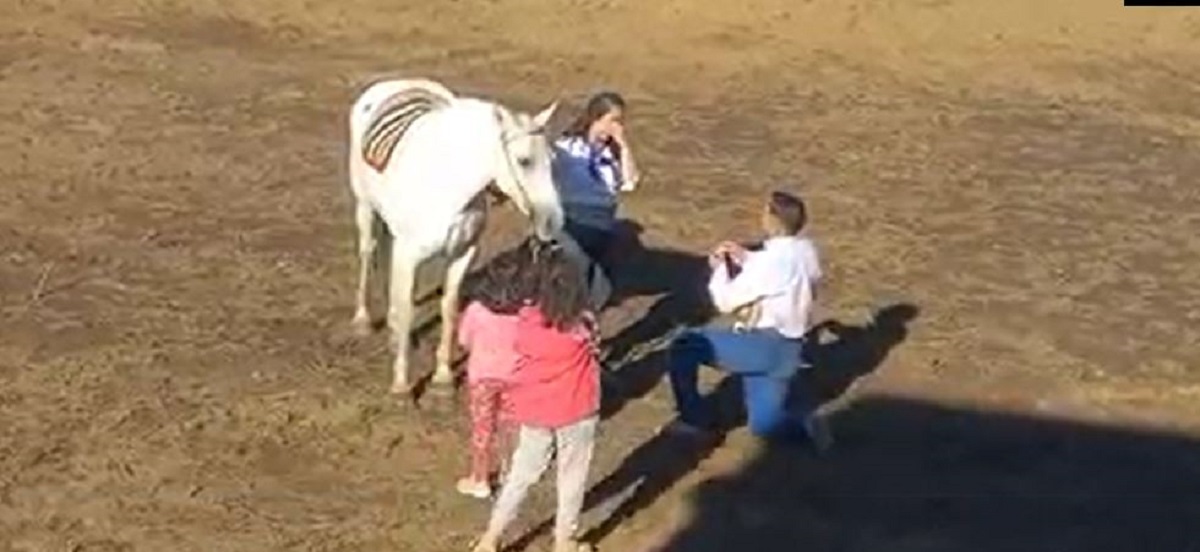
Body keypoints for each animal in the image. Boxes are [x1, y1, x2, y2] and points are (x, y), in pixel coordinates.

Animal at [348, 78, 566, 396]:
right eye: (524, 161)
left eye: (553, 160)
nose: (554, 221)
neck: (448, 182)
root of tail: (394, 83)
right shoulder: (408, 254)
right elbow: (408, 307)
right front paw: (402, 384)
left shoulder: (462, 253)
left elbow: (448, 308)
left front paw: (442, 378)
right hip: (365, 207)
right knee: (368, 253)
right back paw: (363, 320)